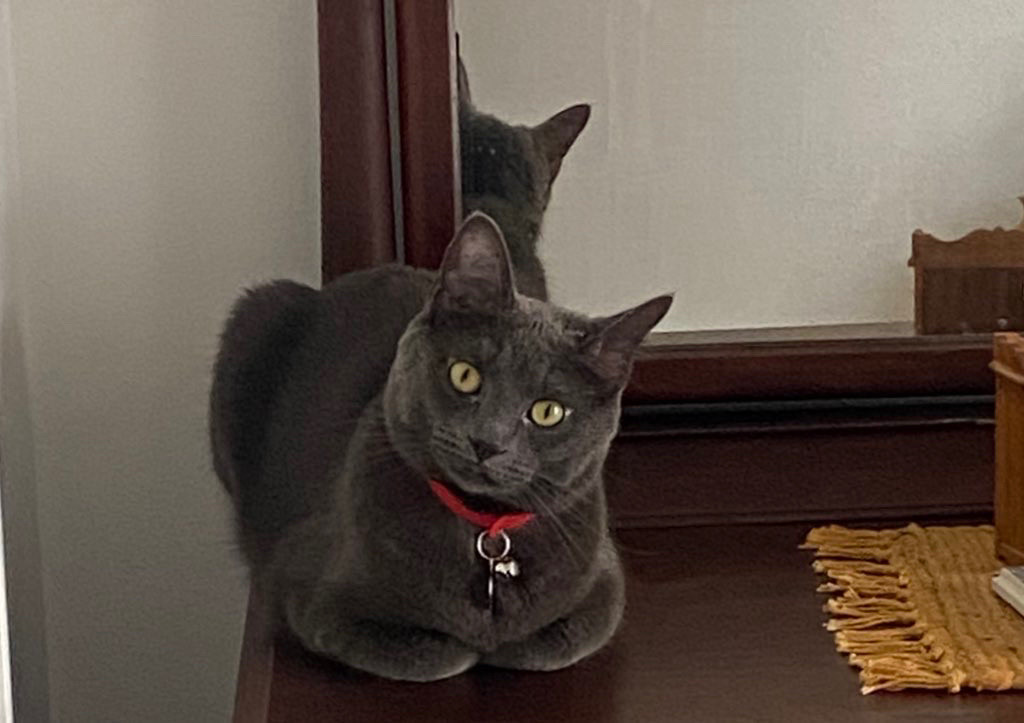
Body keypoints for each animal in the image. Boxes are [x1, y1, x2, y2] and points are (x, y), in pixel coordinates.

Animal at [207, 210, 671, 679]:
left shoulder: (605, 583)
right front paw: (468, 645)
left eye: (548, 412)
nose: (487, 441)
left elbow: (558, 640)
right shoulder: (306, 594)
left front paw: (505, 643)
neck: (484, 529)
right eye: (465, 375)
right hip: (255, 313)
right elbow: (436, 654)